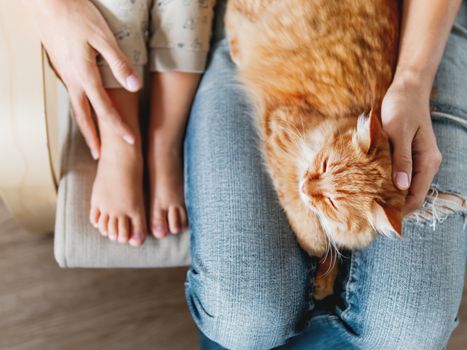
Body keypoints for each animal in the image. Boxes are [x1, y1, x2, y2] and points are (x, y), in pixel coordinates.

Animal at [227, 0, 406, 298]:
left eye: (332, 203)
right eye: (324, 166)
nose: (306, 186)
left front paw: (323, 282)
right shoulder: (281, 133)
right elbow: (309, 225)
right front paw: (314, 246)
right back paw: (238, 50)